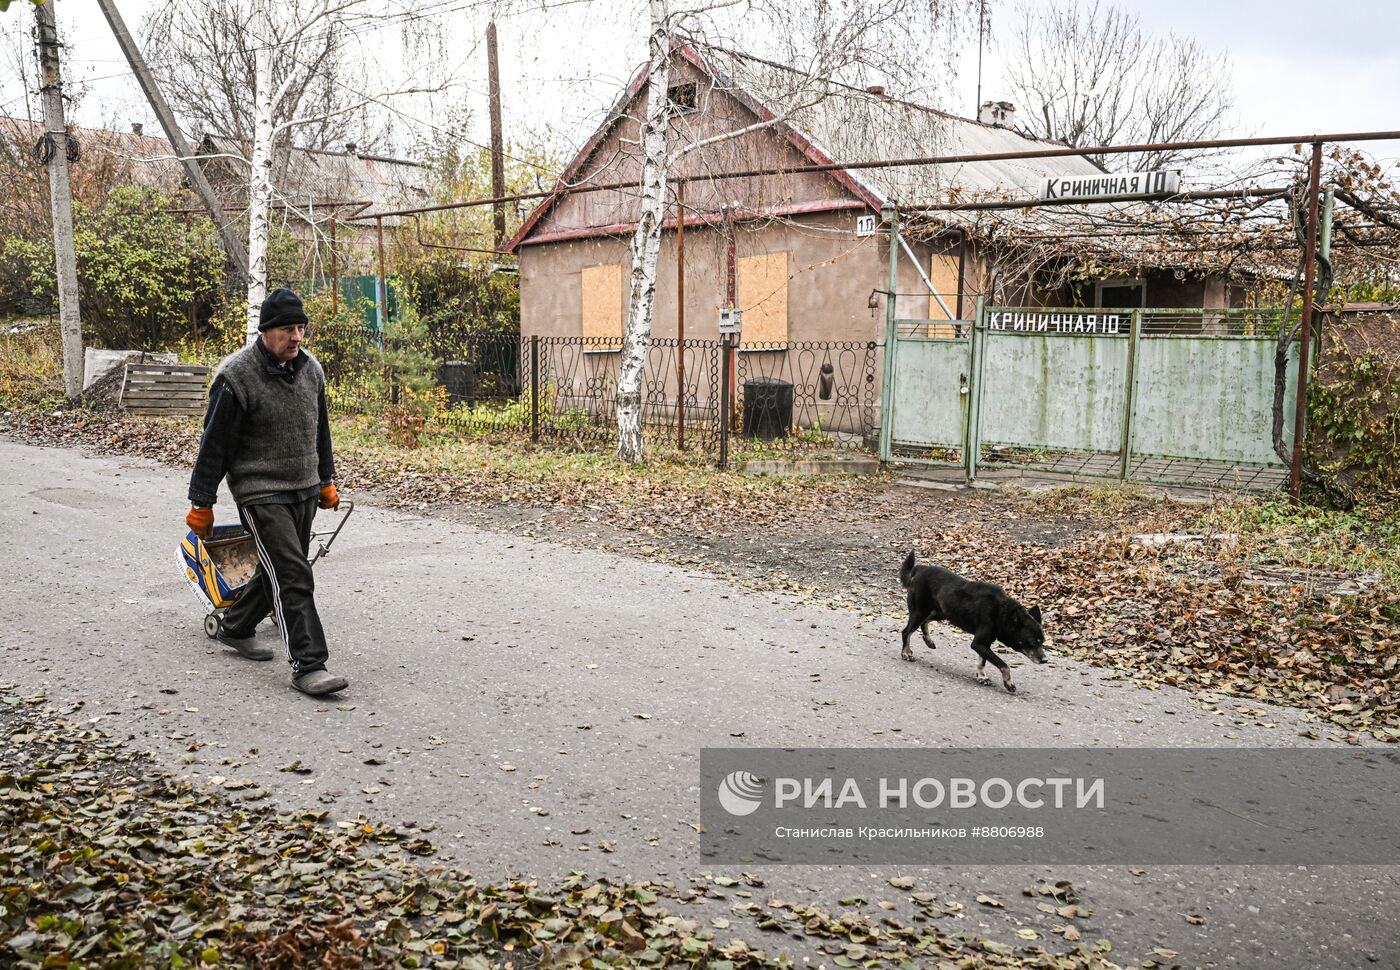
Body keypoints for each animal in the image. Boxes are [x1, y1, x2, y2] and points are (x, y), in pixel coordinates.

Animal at [901, 551, 1047, 688]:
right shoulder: (978, 643)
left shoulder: (984, 644)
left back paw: (928, 640)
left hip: (941, 612)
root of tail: (921, 568)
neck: (1000, 612)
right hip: (920, 612)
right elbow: (1004, 665)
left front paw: (981, 676)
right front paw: (1008, 683)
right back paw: (906, 652)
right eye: (1032, 642)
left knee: (924, 622)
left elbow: (982, 662)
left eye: (1042, 642)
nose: (1045, 660)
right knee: (906, 632)